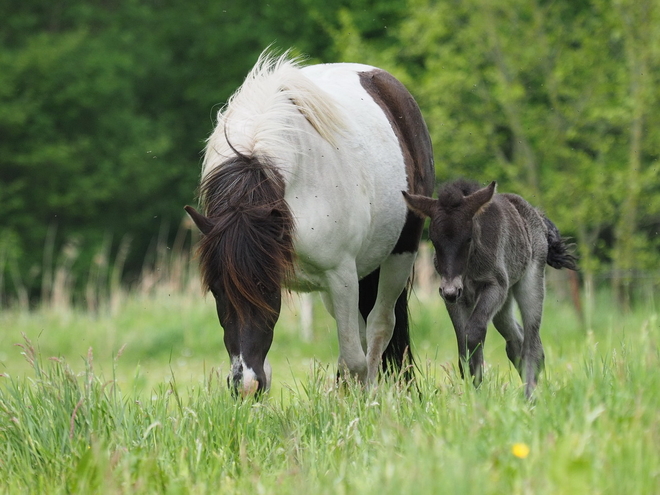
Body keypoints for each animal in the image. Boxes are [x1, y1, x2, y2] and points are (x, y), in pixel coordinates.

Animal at [184, 52, 434, 398]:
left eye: (265, 288)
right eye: (216, 291)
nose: (245, 386)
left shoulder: (341, 277)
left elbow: (354, 360)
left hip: (399, 256)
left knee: (379, 327)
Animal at [402, 179, 576, 400]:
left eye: (468, 238)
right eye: (433, 239)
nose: (450, 291)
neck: (468, 268)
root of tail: (537, 215)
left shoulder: (495, 286)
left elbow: (474, 331)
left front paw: (478, 390)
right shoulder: (455, 298)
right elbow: (463, 346)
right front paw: (472, 391)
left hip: (530, 282)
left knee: (532, 343)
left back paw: (529, 397)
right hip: (504, 302)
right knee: (514, 338)